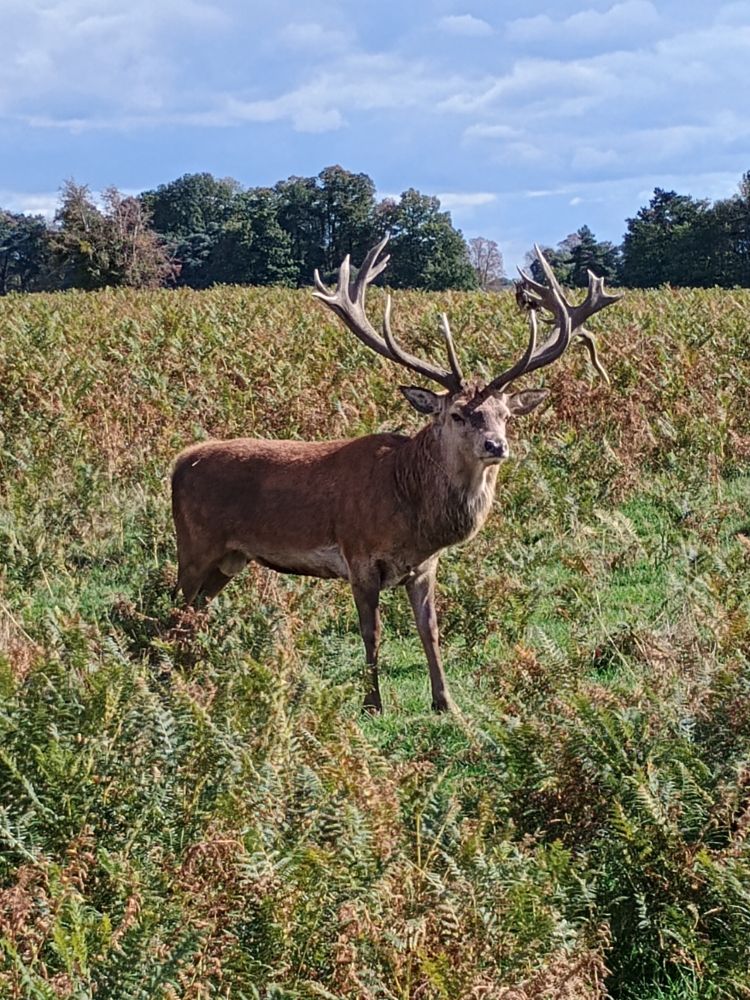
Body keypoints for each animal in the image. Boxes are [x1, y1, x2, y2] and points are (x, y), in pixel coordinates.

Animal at [171, 237, 620, 713]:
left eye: (505, 415)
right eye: (458, 414)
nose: (496, 446)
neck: (411, 512)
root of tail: (179, 462)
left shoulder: (425, 566)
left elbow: (431, 631)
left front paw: (445, 702)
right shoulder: (359, 556)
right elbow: (372, 633)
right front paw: (372, 703)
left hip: (230, 559)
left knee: (194, 610)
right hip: (195, 545)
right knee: (177, 604)